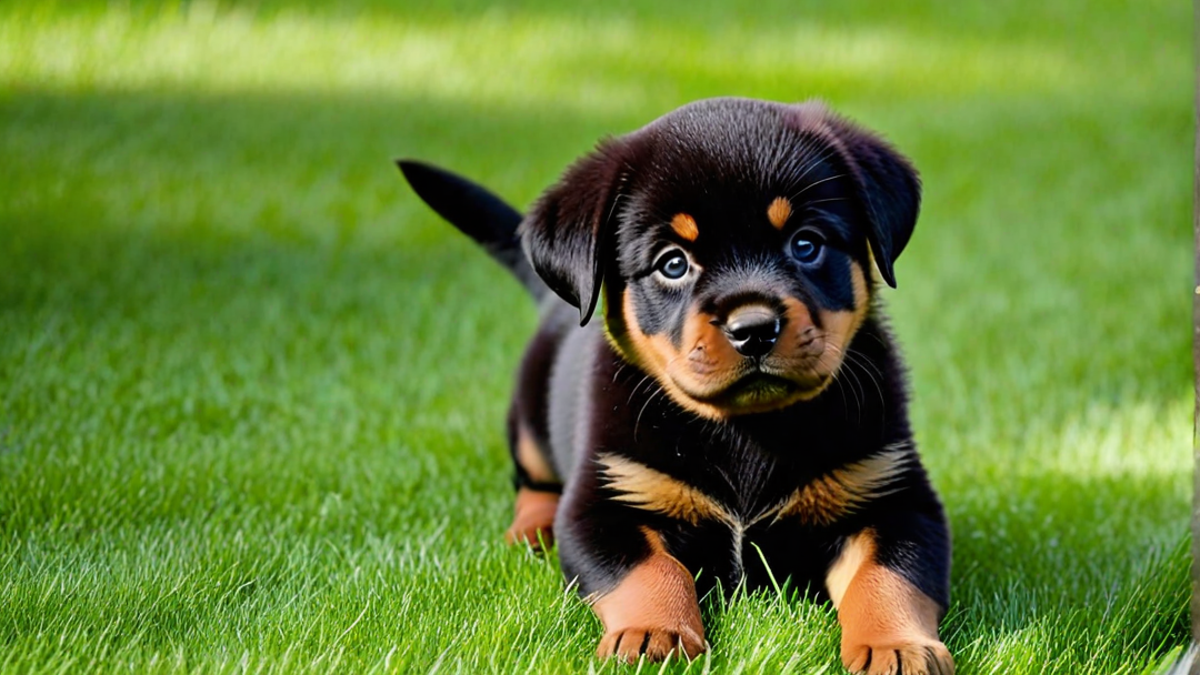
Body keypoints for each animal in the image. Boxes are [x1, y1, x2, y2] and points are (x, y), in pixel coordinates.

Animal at [398, 96, 950, 672]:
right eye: (673, 263)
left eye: (806, 244)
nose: (753, 329)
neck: (747, 433)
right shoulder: (607, 501)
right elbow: (650, 569)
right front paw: (650, 631)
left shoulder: (894, 497)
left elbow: (887, 576)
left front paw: (896, 645)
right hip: (529, 416)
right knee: (533, 481)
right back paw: (531, 529)